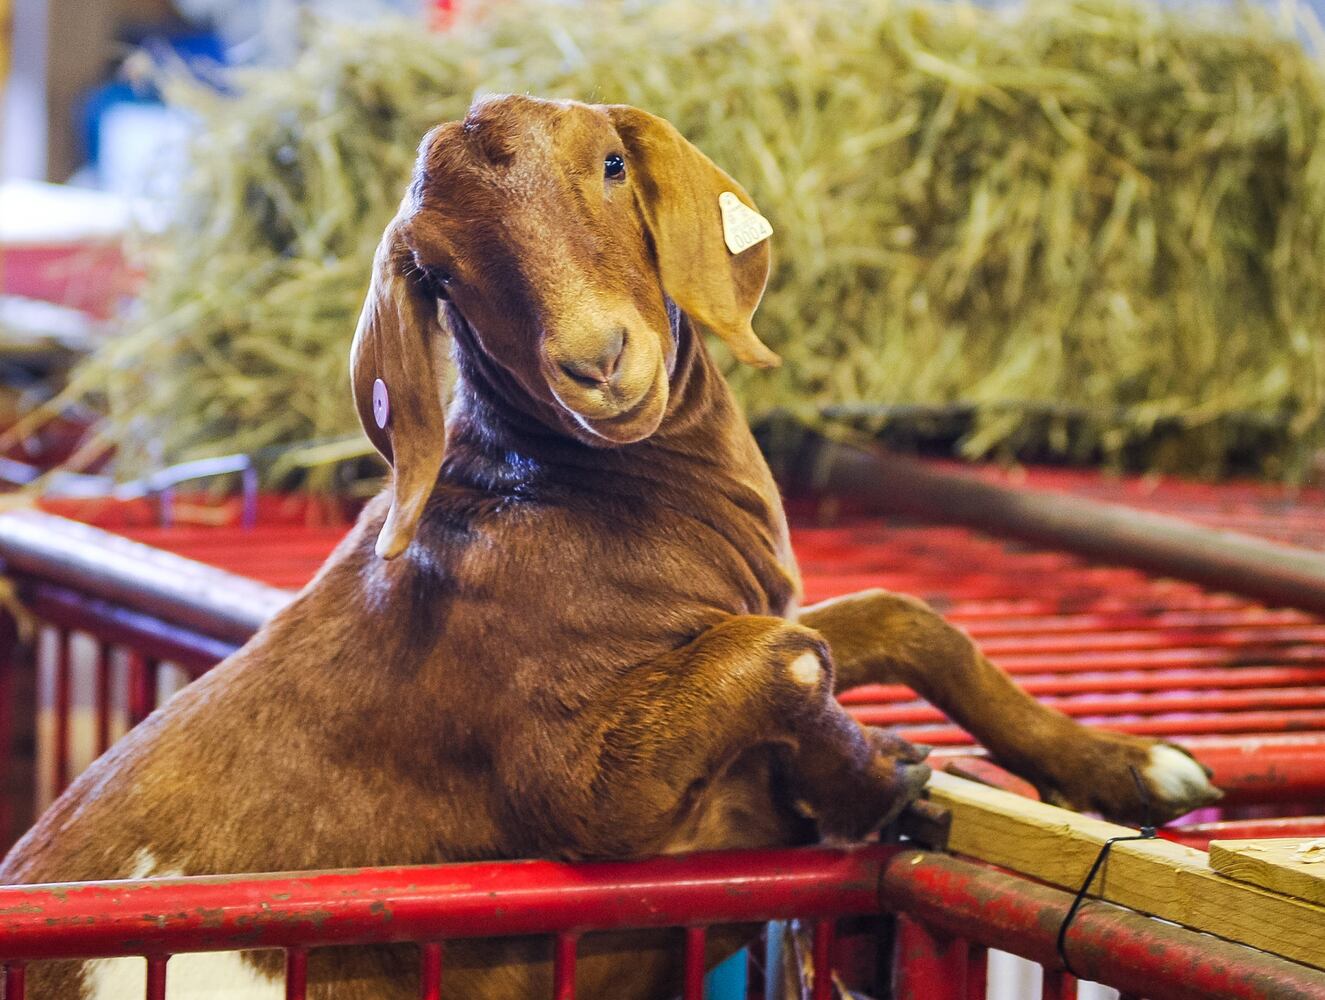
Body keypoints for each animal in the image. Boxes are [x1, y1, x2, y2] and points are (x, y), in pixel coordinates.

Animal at [0, 96, 1219, 1000]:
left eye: (612, 167)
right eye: (439, 270)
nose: (596, 359)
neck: (563, 487)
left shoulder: (725, 617)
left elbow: (890, 621)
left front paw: (1123, 767)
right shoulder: (587, 790)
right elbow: (793, 659)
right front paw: (875, 780)